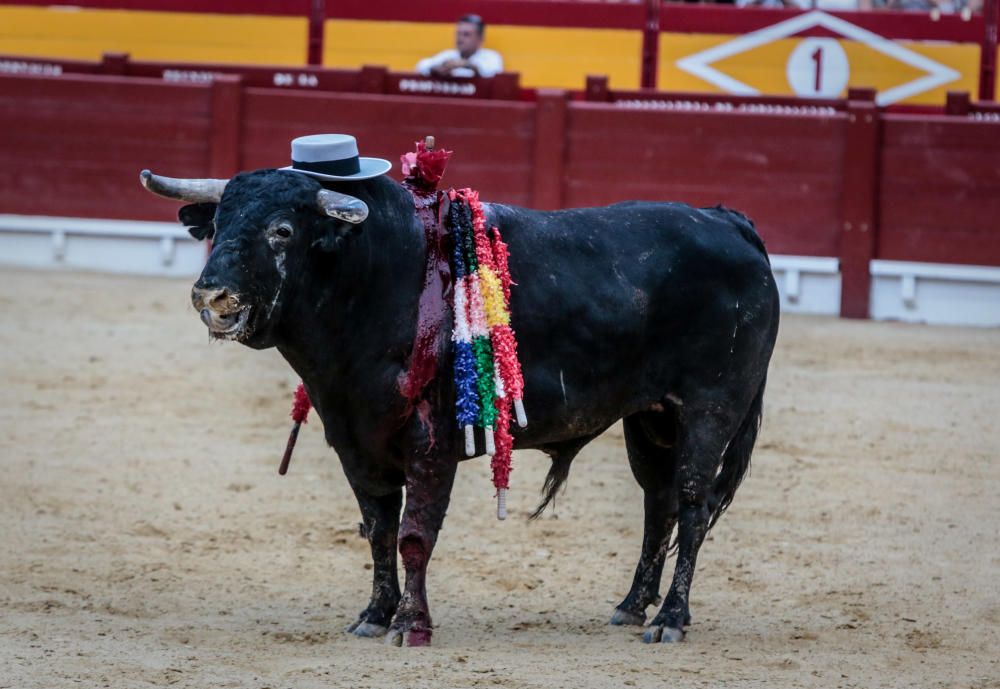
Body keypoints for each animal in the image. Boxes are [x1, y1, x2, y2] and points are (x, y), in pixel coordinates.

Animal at [141, 167, 780, 644]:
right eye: (218, 223)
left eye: (280, 230)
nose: (211, 295)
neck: (371, 276)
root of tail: (727, 220)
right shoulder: (355, 440)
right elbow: (378, 529)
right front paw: (374, 616)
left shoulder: (431, 443)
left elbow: (414, 534)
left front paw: (410, 625)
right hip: (651, 419)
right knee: (658, 502)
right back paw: (631, 606)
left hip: (709, 410)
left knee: (694, 505)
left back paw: (671, 619)